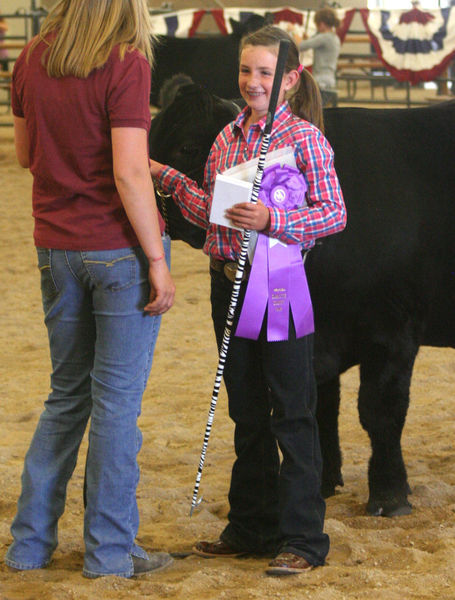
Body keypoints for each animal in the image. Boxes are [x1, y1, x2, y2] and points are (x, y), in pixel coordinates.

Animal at [151, 86, 455, 516]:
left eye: (187, 146)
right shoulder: (315, 335)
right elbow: (320, 406)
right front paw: (324, 482)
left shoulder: (392, 330)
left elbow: (380, 411)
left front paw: (389, 495)